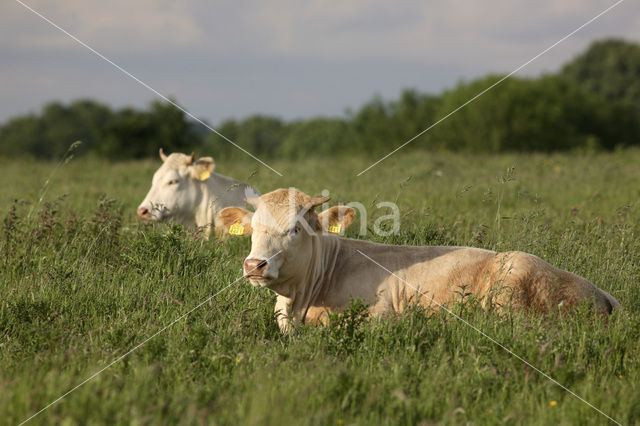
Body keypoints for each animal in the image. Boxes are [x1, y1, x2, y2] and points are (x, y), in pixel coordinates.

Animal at [219, 189, 620, 332]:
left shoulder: (379, 315)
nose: (254, 265)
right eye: (253, 228)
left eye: (295, 229)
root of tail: (602, 293)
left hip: (514, 285)